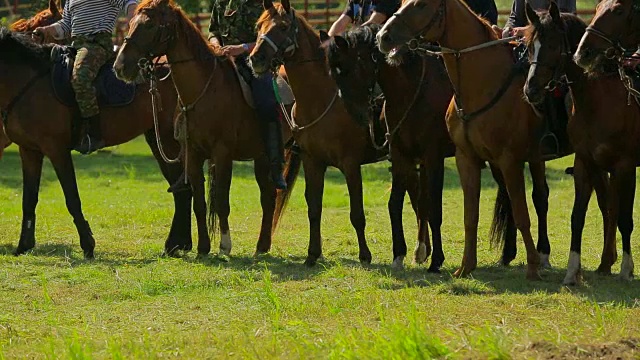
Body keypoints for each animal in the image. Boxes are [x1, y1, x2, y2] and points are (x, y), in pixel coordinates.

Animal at [0, 28, 192, 258]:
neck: (28, 83)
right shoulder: (29, 151)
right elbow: (28, 199)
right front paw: (24, 245)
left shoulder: (57, 150)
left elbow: (72, 198)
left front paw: (88, 245)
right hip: (157, 140)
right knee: (181, 186)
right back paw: (177, 245)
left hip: (169, 139)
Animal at [114, 0, 292, 258]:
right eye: (131, 23)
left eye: (149, 25)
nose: (120, 66)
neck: (204, 90)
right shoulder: (193, 154)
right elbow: (199, 202)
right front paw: (203, 248)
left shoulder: (222, 153)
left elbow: (221, 202)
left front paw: (225, 246)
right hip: (260, 157)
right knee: (268, 198)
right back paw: (261, 247)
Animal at [249, 0, 390, 264]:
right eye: (258, 26)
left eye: (283, 27)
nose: (256, 59)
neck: (321, 99)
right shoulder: (312, 162)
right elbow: (314, 208)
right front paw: (312, 255)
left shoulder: (350, 164)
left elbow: (357, 213)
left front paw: (365, 255)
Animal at [376, 0, 560, 280]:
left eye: (421, 5)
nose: (384, 36)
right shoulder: (462, 158)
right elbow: (467, 214)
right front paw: (464, 266)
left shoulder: (507, 159)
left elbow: (521, 212)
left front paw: (532, 267)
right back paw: (507, 254)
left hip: (533, 160)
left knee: (539, 197)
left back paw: (542, 255)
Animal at [524, 3, 636, 284]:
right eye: (529, 46)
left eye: (553, 45)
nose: (531, 90)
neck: (599, 102)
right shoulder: (586, 163)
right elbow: (578, 216)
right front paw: (572, 271)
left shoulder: (626, 166)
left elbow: (625, 218)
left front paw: (626, 269)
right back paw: (605, 263)